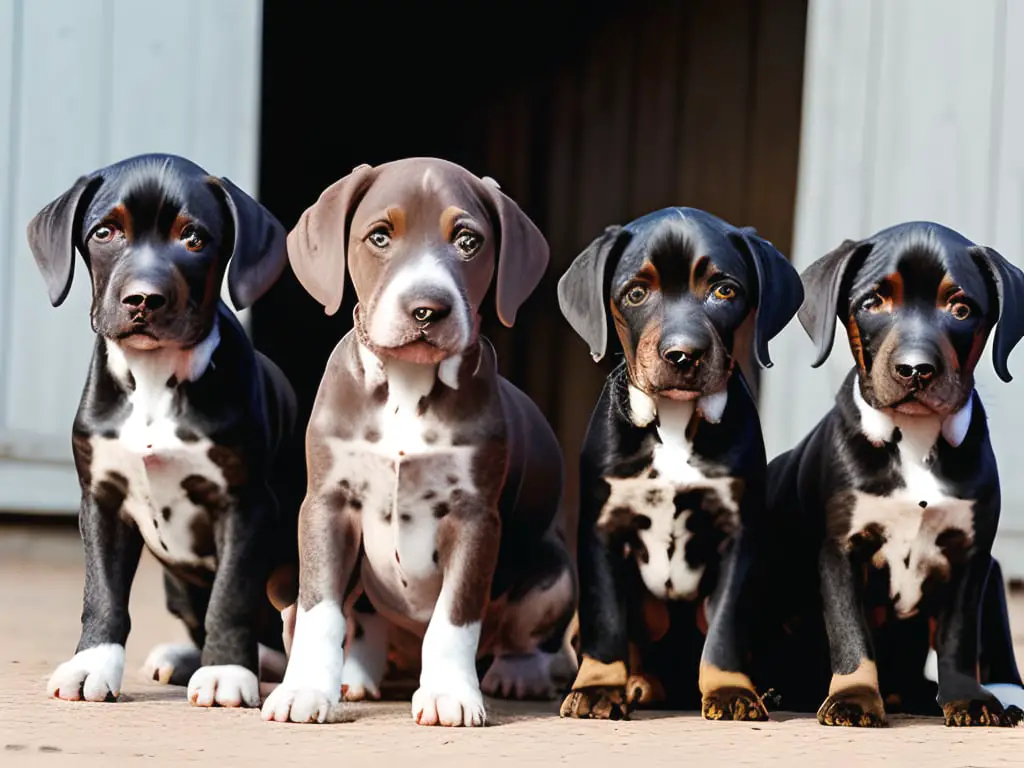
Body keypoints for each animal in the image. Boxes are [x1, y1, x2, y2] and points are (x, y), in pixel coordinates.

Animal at [27, 154, 299, 708]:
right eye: (105, 232)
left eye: (193, 238)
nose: (143, 300)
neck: (153, 379)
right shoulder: (101, 498)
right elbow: (102, 592)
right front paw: (92, 664)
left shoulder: (245, 503)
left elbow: (232, 593)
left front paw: (225, 672)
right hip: (178, 582)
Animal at [260, 157, 577, 729]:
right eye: (380, 236)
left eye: (468, 241)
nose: (428, 309)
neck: (407, 384)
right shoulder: (327, 504)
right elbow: (320, 608)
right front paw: (306, 689)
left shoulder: (474, 516)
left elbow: (455, 616)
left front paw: (450, 692)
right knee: (361, 620)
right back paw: (356, 675)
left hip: (554, 573)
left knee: (526, 638)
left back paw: (518, 673)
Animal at [557, 205, 802, 720]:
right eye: (636, 293)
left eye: (724, 290)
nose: (682, 354)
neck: (672, 420)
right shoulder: (601, 527)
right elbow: (606, 621)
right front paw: (597, 689)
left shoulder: (738, 533)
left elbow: (726, 626)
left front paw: (730, 690)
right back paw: (638, 684)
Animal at [770, 218, 1024, 729]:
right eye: (872, 303)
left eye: (961, 309)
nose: (915, 369)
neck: (914, 440)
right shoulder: (841, 550)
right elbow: (851, 634)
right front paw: (854, 698)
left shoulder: (971, 556)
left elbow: (958, 640)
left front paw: (967, 699)